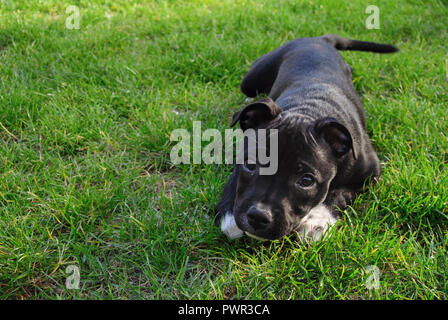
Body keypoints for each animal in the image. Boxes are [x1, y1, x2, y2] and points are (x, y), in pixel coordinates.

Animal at [215, 33, 398, 241]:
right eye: (250, 165)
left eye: (306, 181)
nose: (258, 216)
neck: (308, 109)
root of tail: (319, 39)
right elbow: (234, 183)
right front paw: (230, 217)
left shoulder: (369, 174)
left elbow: (337, 195)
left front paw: (317, 223)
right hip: (250, 81)